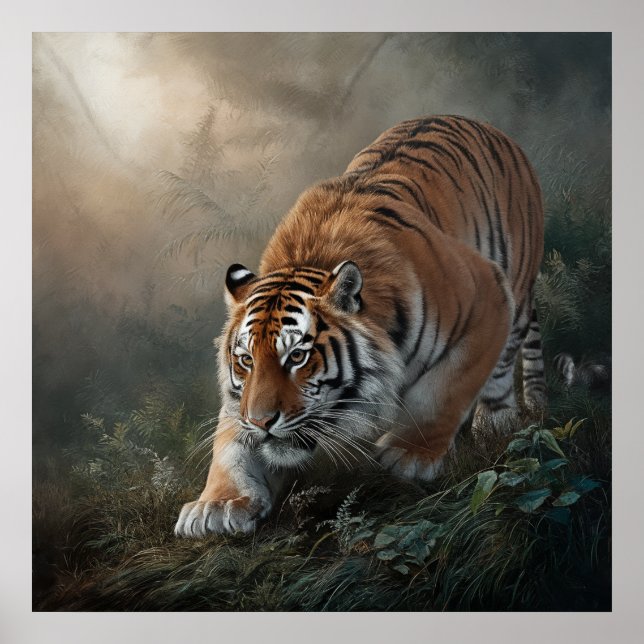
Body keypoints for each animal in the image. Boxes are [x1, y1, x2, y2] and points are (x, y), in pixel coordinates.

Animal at [174, 115, 545, 537]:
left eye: (297, 357)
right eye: (246, 361)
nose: (262, 421)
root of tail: (484, 125)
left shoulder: (486, 294)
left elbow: (443, 389)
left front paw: (407, 456)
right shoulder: (242, 401)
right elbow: (230, 442)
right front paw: (217, 505)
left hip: (516, 293)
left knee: (499, 373)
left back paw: (495, 428)